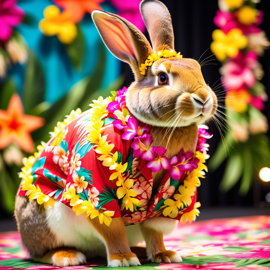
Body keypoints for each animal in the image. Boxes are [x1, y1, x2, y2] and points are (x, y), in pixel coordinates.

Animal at [14, 0, 217, 266]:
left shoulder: (169, 196)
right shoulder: (96, 192)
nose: (203, 99)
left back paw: (140, 252)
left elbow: (154, 231)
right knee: (42, 253)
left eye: (197, 69)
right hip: (46, 220)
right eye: (163, 78)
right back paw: (68, 256)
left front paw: (164, 255)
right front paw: (123, 259)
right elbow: (112, 229)